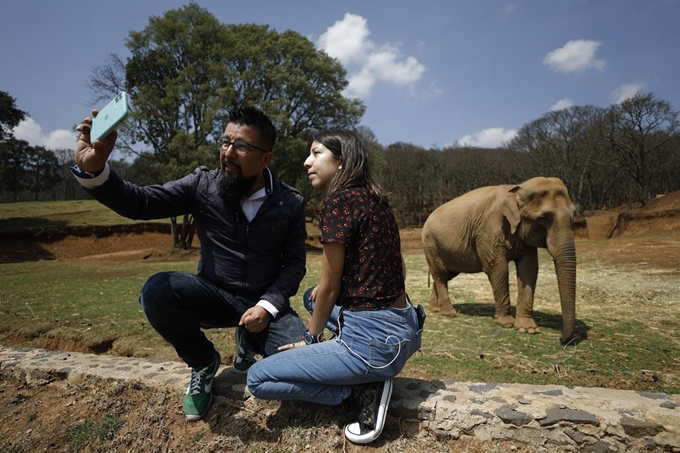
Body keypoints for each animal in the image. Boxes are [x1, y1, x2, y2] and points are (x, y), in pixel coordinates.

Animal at [422, 176, 576, 342]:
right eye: (544, 218)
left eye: (573, 216)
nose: (561, 339)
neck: (516, 189)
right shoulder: (489, 229)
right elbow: (497, 267)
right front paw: (506, 324)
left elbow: (529, 268)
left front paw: (528, 329)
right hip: (431, 244)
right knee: (441, 274)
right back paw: (449, 313)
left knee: (445, 275)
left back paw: (435, 309)